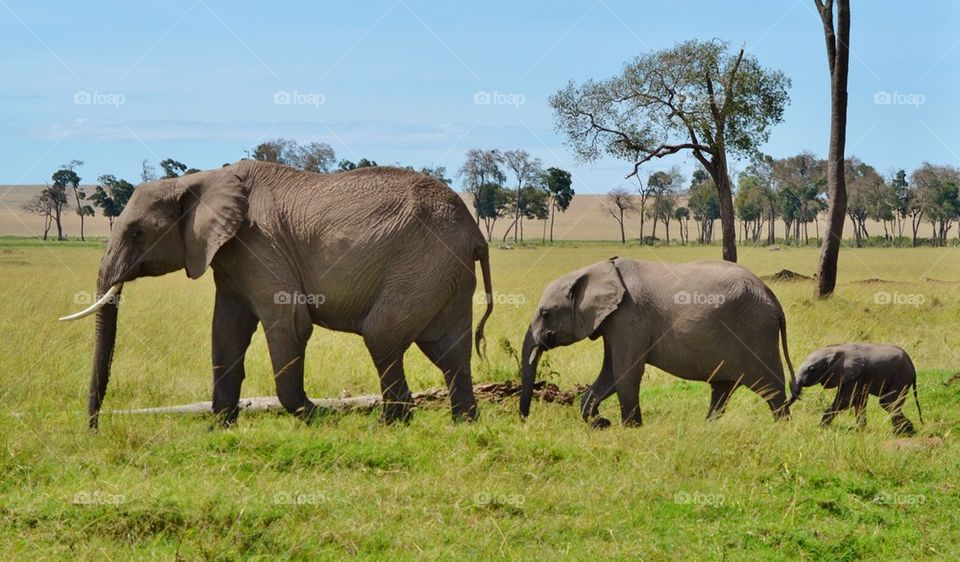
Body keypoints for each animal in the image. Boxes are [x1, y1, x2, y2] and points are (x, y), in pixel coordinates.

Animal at [60, 160, 493, 429]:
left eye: (137, 232)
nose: (93, 428)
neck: (204, 179)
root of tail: (474, 232)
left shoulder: (260, 244)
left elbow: (290, 322)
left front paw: (316, 416)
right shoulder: (230, 257)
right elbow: (226, 331)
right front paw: (220, 427)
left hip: (422, 263)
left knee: (382, 335)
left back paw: (389, 424)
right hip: (445, 273)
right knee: (450, 351)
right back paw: (463, 423)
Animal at [519, 258, 795, 426]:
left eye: (545, 313)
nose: (524, 420)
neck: (596, 270)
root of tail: (774, 301)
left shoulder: (628, 318)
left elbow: (626, 372)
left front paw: (630, 428)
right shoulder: (613, 322)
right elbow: (610, 373)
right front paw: (599, 424)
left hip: (756, 334)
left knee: (771, 389)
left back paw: (781, 428)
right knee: (722, 389)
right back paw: (708, 427)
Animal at [786, 343, 923, 434]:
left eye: (812, 370)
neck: (833, 350)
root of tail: (912, 366)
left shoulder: (853, 375)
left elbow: (846, 401)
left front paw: (821, 427)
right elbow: (859, 401)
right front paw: (862, 431)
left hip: (901, 376)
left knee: (887, 402)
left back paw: (904, 431)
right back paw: (904, 430)